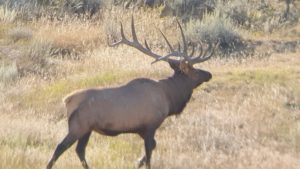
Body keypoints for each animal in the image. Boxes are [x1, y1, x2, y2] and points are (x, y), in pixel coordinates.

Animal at [45, 17, 218, 169]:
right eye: (194, 70)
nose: (209, 74)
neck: (170, 98)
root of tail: (67, 100)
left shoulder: (141, 129)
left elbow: (152, 148)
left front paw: (137, 162)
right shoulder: (151, 124)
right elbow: (149, 153)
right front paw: (141, 162)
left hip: (87, 129)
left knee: (79, 150)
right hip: (78, 126)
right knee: (60, 147)